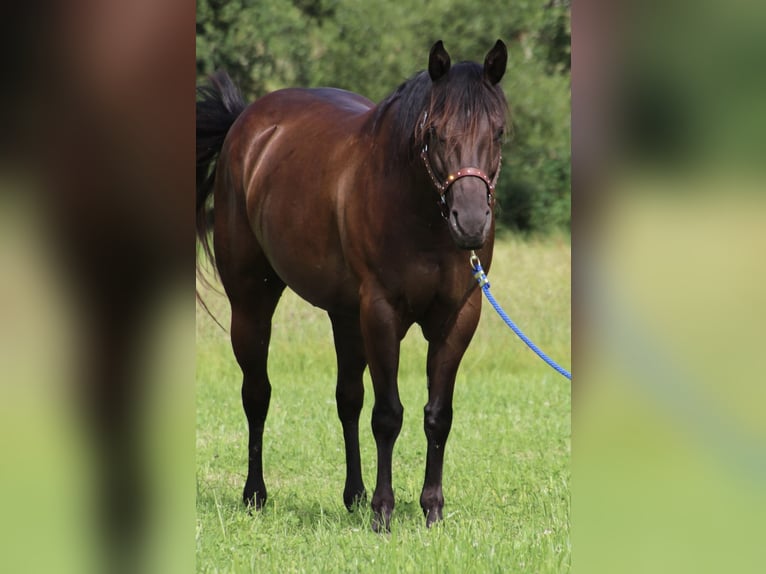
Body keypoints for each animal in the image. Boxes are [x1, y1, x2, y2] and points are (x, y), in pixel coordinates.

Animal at [196, 40, 510, 532]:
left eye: (498, 132)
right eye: (435, 131)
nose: (473, 221)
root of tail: (245, 122)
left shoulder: (459, 316)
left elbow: (437, 415)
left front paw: (431, 509)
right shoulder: (381, 312)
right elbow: (388, 415)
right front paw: (383, 511)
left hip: (344, 316)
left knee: (348, 398)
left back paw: (354, 494)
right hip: (251, 302)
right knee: (257, 394)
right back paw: (256, 494)